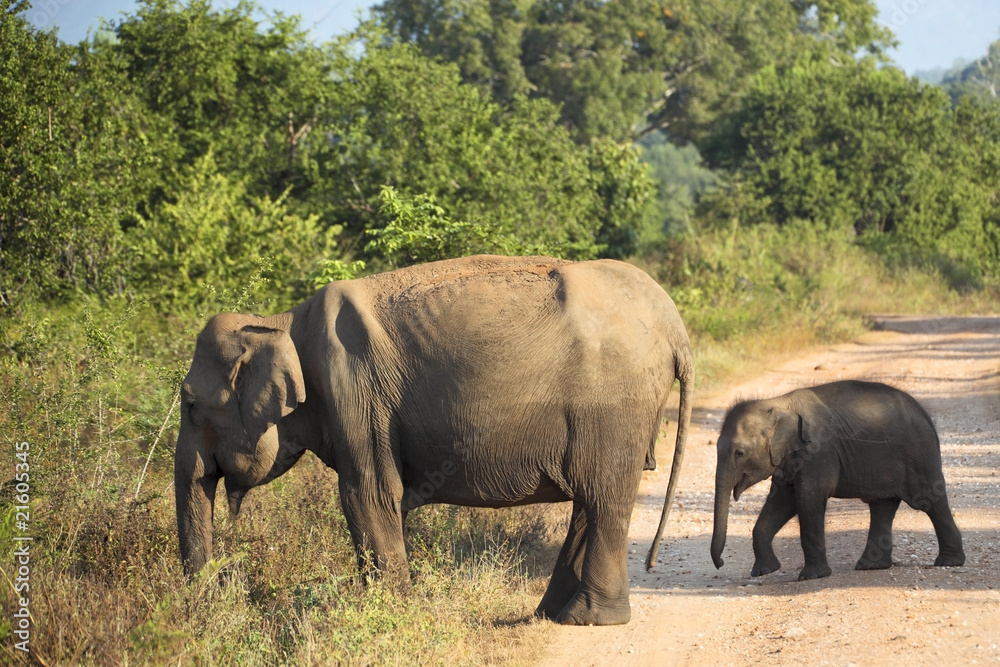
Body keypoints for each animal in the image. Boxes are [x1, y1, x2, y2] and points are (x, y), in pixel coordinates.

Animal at [176, 254, 692, 628]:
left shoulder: (354, 393)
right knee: (593, 500)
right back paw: (551, 616)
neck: (278, 321)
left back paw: (587, 619)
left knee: (603, 497)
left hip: (612, 406)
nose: (212, 600)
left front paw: (391, 616)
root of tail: (674, 325)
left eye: (189, 405)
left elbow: (368, 496)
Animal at [708, 380, 964, 580]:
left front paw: (811, 576)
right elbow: (782, 501)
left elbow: (807, 499)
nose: (720, 564)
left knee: (929, 501)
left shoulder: (818, 452)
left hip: (919, 454)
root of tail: (926, 416)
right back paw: (870, 566)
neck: (777, 403)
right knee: (882, 505)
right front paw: (764, 571)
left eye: (739, 453)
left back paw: (949, 562)